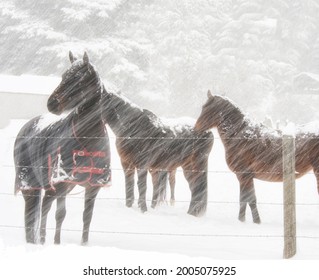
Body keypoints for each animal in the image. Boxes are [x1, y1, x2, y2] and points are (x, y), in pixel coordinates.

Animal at [13, 53, 111, 245]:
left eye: (78, 79)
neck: (88, 140)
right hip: (31, 185)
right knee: (33, 213)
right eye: (63, 76)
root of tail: (26, 127)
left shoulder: (92, 187)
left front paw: (84, 244)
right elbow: (60, 214)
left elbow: (87, 217)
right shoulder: (62, 183)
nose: (52, 103)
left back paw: (41, 239)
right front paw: (57, 243)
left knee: (44, 205)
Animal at [48, 52, 215, 217]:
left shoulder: (142, 166)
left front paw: (143, 211)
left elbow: (142, 190)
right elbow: (129, 192)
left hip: (194, 167)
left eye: (78, 79)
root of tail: (207, 132)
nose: (52, 103)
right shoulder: (127, 165)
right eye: (64, 76)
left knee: (197, 191)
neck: (131, 127)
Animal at [194, 91, 319, 223]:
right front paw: (250, 221)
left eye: (207, 109)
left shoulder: (244, 175)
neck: (241, 136)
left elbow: (248, 200)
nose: (196, 128)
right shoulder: (245, 176)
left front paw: (249, 222)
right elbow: (247, 200)